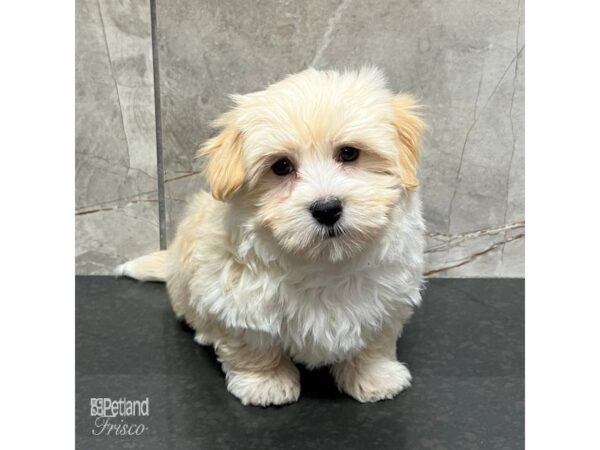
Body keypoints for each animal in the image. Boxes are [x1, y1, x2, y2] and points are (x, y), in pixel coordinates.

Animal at [116, 67, 426, 408]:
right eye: (281, 167)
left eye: (349, 153)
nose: (327, 208)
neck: (322, 262)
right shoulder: (237, 302)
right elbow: (254, 346)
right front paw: (265, 383)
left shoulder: (387, 302)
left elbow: (374, 343)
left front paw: (376, 377)